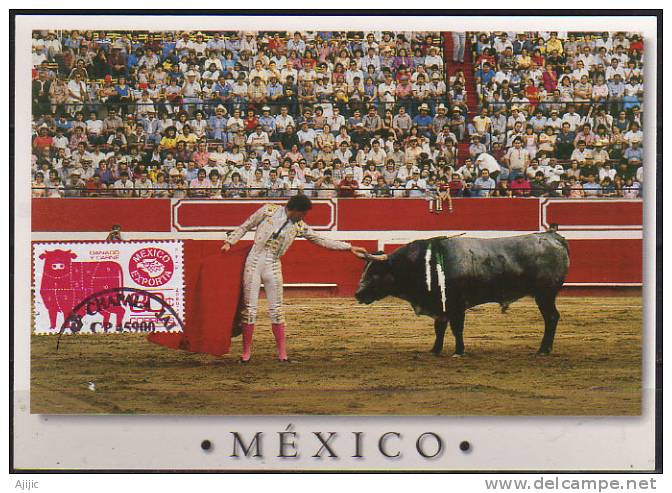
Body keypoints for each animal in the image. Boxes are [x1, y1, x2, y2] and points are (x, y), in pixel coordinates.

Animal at [354, 233, 568, 356]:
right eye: (365, 270)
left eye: (374, 273)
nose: (358, 294)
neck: (424, 264)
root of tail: (554, 237)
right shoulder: (440, 305)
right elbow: (439, 328)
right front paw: (435, 350)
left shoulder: (456, 304)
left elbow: (456, 329)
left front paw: (459, 351)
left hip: (545, 294)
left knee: (551, 318)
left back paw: (543, 350)